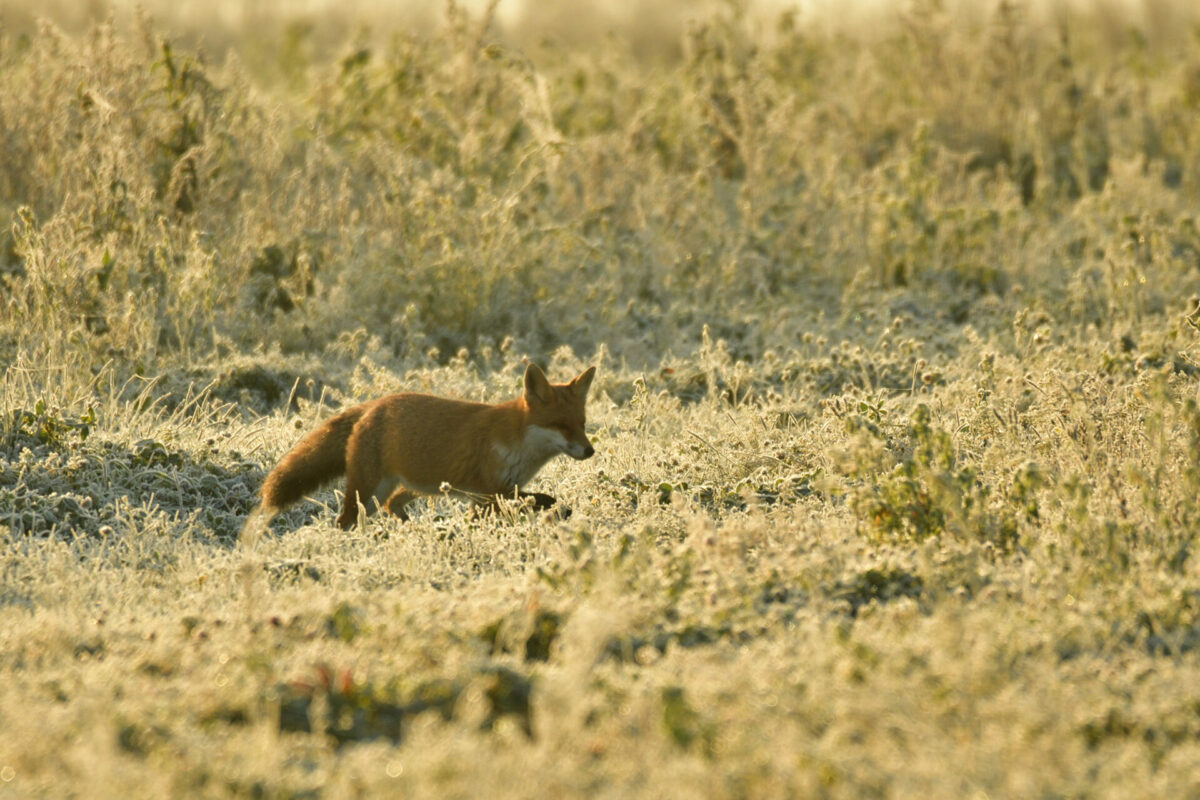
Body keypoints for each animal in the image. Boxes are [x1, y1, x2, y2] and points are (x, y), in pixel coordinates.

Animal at [247, 364, 596, 531]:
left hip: (409, 488)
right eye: (561, 426)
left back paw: (408, 530)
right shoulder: (490, 492)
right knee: (346, 520)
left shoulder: (487, 496)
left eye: (582, 423)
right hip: (368, 490)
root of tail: (375, 404)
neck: (517, 443)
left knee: (392, 506)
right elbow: (545, 498)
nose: (590, 451)